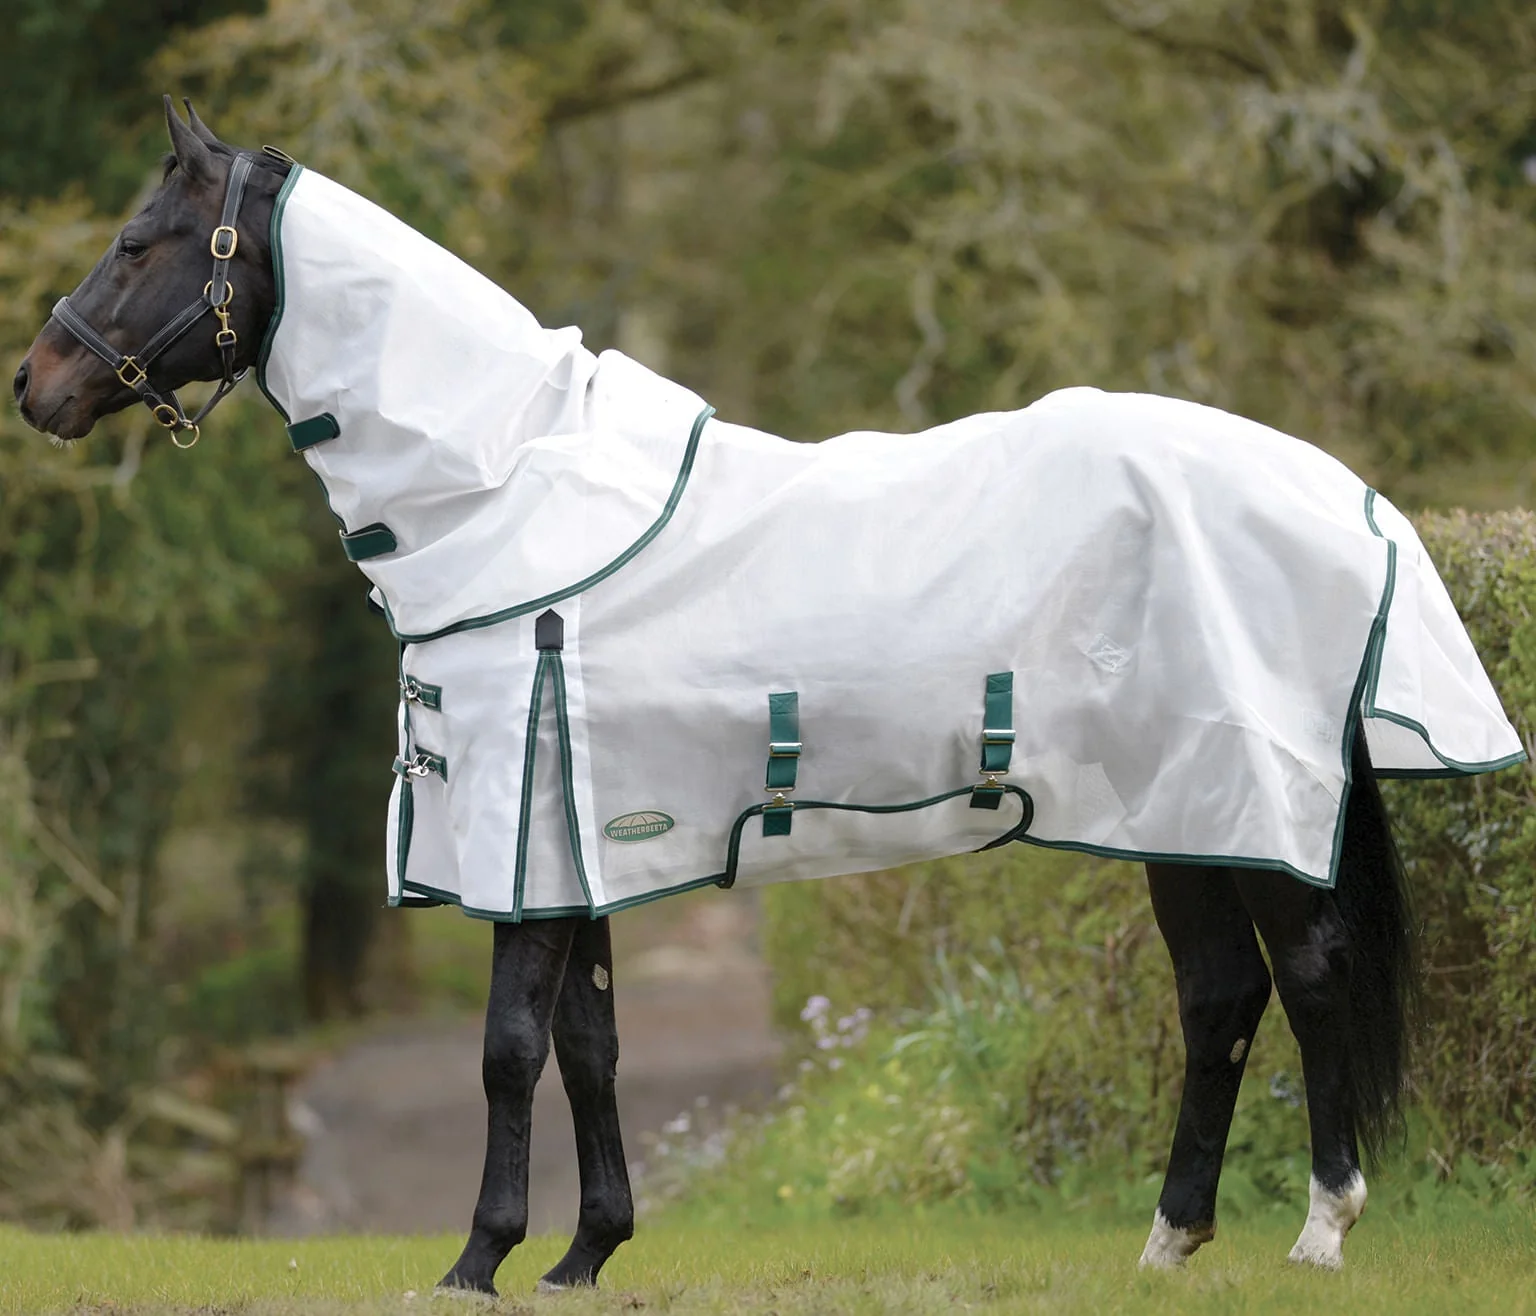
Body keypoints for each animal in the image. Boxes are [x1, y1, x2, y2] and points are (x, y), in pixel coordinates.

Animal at [14, 101, 1523, 1293]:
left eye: (140, 243)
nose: (38, 383)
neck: (515, 488)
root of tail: (1350, 500)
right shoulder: (578, 836)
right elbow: (591, 1048)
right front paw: (585, 1253)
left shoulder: (522, 836)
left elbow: (507, 1049)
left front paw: (477, 1260)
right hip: (1176, 810)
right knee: (1219, 998)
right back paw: (1167, 1241)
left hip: (1253, 805)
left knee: (1311, 979)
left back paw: (1321, 1231)